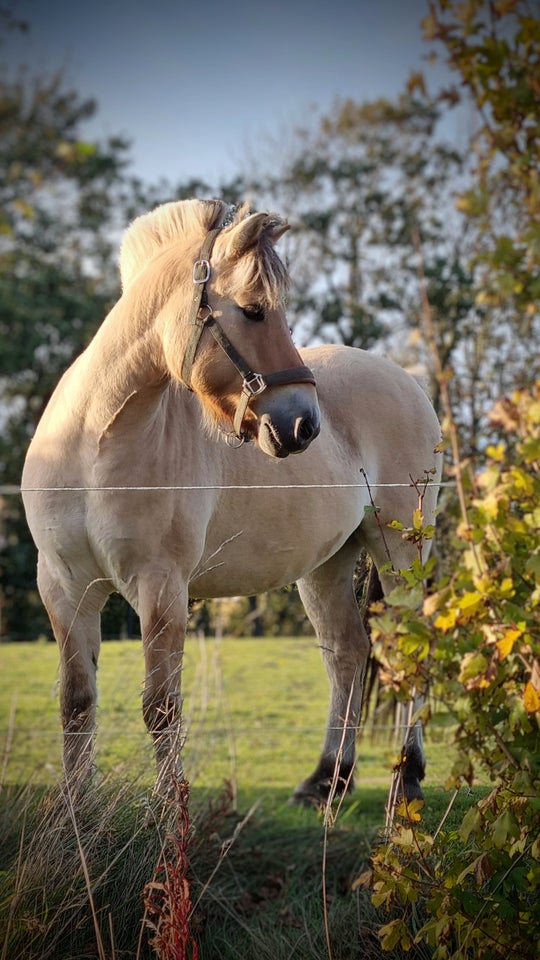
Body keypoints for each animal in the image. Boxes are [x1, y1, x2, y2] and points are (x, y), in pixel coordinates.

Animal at [22, 199, 442, 808]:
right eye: (253, 310)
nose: (303, 424)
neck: (92, 446)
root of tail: (407, 381)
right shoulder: (63, 587)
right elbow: (76, 705)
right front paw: (76, 812)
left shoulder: (162, 586)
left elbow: (161, 708)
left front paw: (167, 810)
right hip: (328, 563)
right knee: (347, 651)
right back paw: (327, 781)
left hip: (399, 550)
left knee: (410, 651)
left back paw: (406, 776)